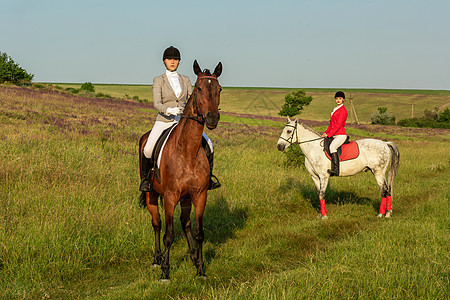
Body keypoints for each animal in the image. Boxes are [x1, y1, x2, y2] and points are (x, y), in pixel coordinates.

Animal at [137, 59, 221, 280]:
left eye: (219, 89)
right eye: (199, 88)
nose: (212, 118)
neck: (187, 152)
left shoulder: (199, 195)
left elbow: (198, 232)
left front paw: (200, 269)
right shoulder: (170, 196)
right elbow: (168, 235)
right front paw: (166, 272)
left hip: (186, 198)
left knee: (185, 223)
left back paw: (193, 257)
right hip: (151, 194)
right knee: (157, 224)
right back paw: (157, 260)